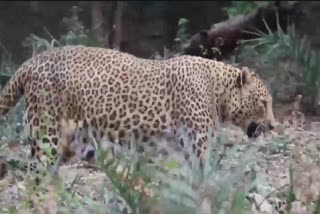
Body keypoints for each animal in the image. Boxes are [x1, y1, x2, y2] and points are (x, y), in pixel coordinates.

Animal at [0, 44, 276, 182]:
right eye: (263, 103)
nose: (274, 126)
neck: (218, 92)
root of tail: (30, 63)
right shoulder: (198, 144)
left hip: (75, 141)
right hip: (47, 135)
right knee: (36, 176)